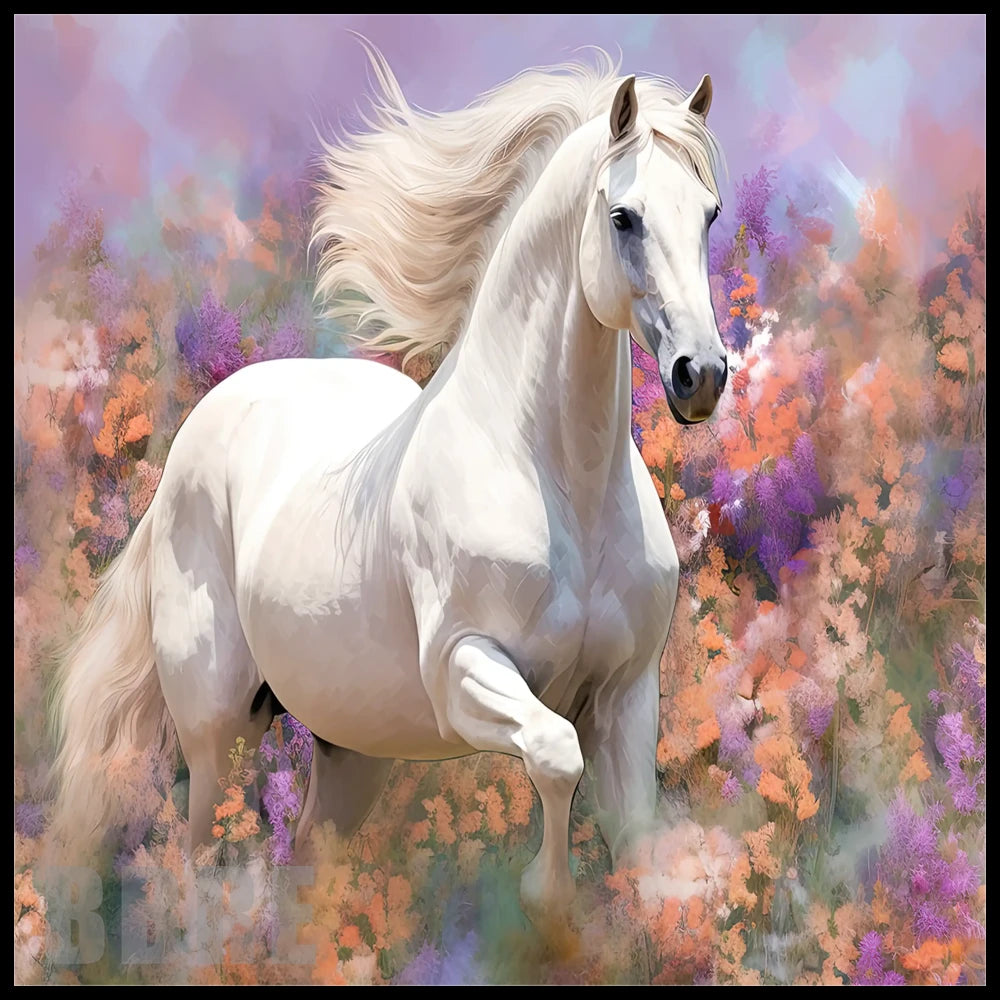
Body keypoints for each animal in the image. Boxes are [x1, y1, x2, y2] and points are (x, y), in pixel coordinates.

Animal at [50, 49, 727, 916]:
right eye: (624, 218)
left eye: (709, 215)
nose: (701, 375)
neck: (562, 489)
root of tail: (186, 454)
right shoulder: (464, 671)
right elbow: (554, 755)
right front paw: (545, 897)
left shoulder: (627, 699)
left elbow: (639, 845)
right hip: (219, 733)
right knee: (202, 861)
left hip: (351, 747)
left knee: (307, 862)